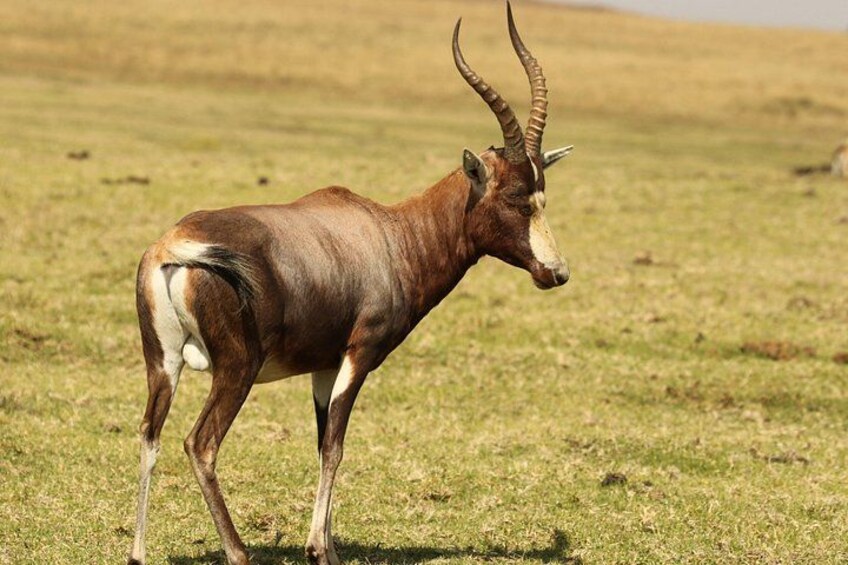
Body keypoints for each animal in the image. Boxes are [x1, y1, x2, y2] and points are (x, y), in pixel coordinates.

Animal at [128, 4, 573, 564]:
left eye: (542, 192)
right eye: (515, 196)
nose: (556, 272)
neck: (387, 233)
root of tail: (176, 245)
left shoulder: (323, 365)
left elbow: (322, 443)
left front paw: (326, 544)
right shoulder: (359, 353)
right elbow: (337, 445)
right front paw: (321, 549)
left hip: (162, 362)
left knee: (150, 434)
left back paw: (137, 553)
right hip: (237, 369)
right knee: (200, 443)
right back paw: (239, 552)